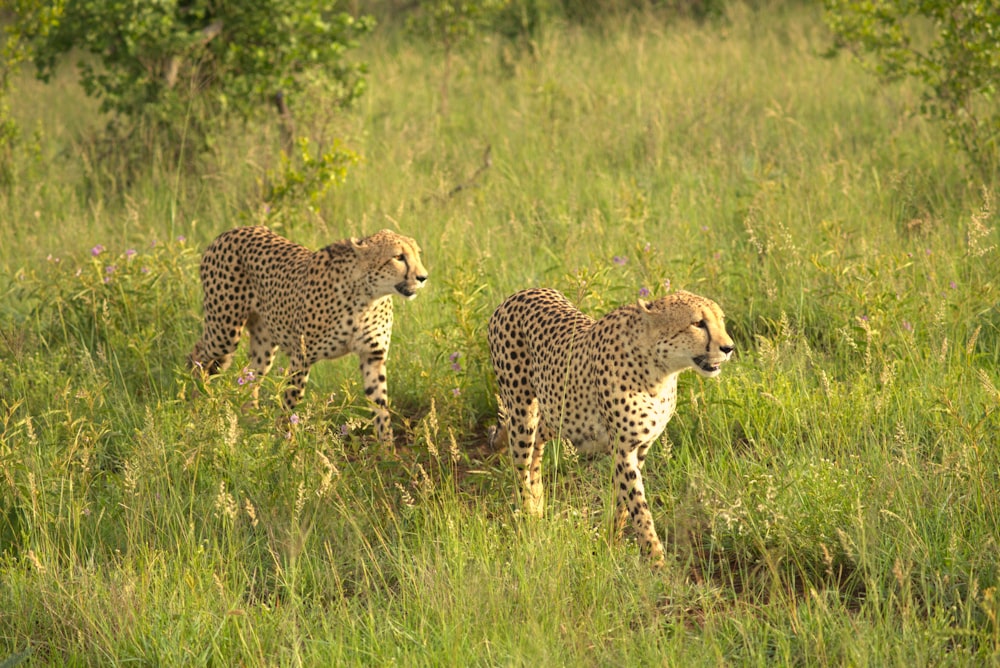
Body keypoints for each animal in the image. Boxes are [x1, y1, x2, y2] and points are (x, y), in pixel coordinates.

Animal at [186, 226, 428, 444]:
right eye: (398, 257)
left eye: (417, 254)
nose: (423, 277)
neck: (367, 297)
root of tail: (228, 232)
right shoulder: (302, 357)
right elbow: (292, 399)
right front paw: (284, 443)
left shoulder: (373, 357)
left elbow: (380, 406)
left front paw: (387, 450)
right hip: (224, 332)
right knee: (198, 355)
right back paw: (195, 404)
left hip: (263, 343)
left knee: (249, 374)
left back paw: (250, 420)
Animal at [490, 288, 736, 564]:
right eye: (698, 323)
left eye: (721, 320)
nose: (729, 348)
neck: (659, 372)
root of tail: (518, 294)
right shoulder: (623, 448)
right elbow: (639, 506)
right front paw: (656, 560)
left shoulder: (640, 448)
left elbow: (623, 502)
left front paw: (611, 542)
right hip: (523, 412)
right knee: (521, 463)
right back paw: (529, 518)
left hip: (558, 411)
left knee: (537, 444)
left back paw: (538, 502)